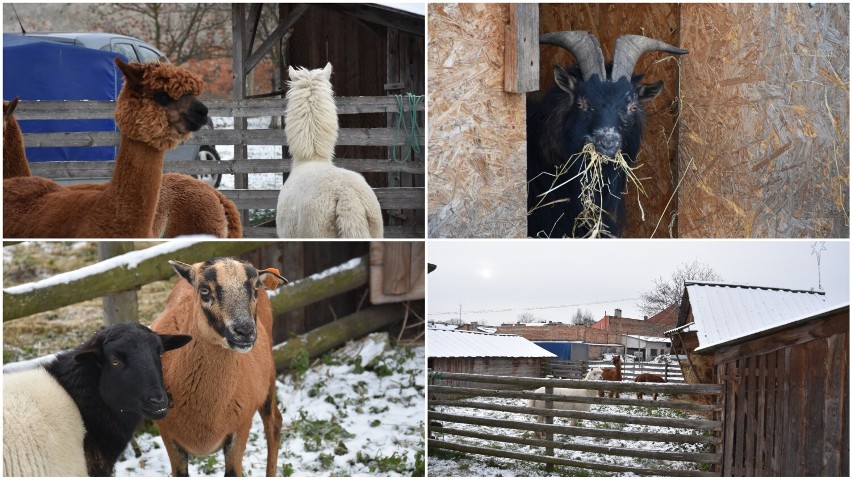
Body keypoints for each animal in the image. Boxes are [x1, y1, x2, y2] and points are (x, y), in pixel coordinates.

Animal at [151, 260, 288, 478]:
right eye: (204, 290)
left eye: (255, 288)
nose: (245, 331)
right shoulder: (168, 435)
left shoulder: (240, 429)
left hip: (268, 381)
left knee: (274, 424)